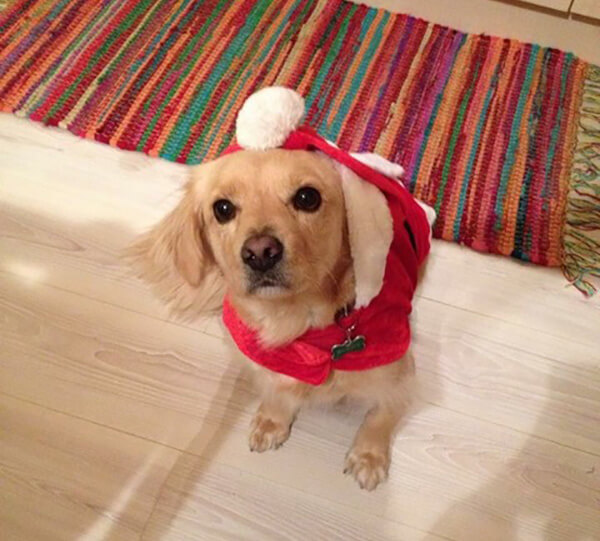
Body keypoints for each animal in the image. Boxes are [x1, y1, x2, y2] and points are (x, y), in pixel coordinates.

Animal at [130, 88, 434, 491]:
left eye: (307, 197)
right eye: (222, 208)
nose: (260, 253)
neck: (300, 326)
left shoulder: (400, 375)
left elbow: (380, 415)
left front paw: (369, 457)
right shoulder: (263, 363)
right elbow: (277, 391)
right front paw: (272, 421)